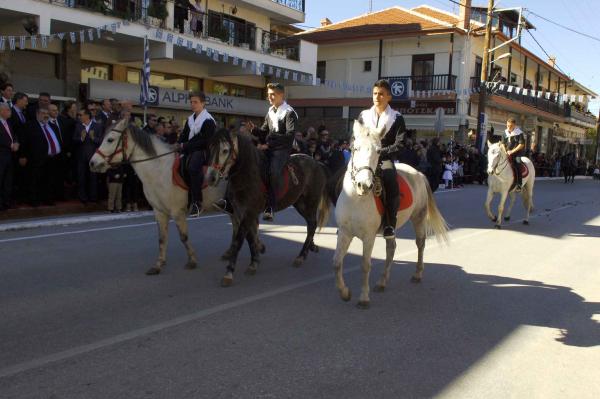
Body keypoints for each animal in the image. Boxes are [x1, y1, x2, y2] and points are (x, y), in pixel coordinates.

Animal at [330, 120, 448, 310]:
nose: (364, 185)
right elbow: (336, 263)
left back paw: (417, 274)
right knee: (391, 248)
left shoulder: (368, 237)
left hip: (419, 218)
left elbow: (365, 265)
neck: (356, 198)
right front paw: (345, 293)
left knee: (420, 244)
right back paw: (382, 282)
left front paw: (364, 298)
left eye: (378, 151)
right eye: (355, 148)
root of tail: (419, 174)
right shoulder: (344, 233)